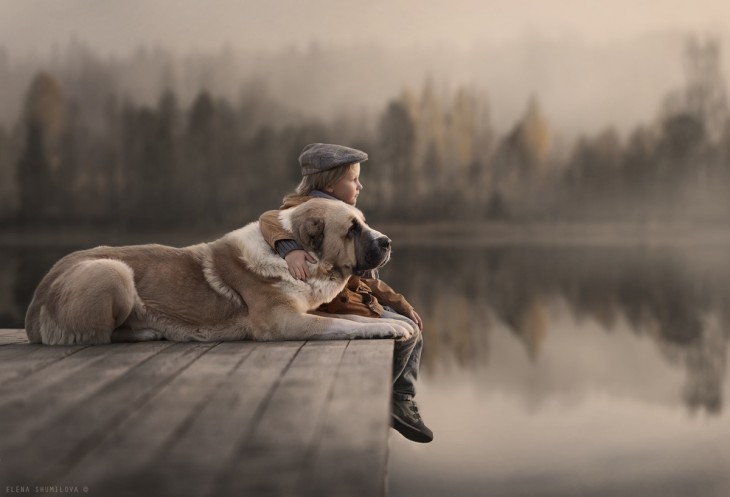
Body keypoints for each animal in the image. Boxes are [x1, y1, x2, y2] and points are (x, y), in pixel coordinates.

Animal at [25, 198, 412, 344]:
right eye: (351, 230)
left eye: (363, 222)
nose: (388, 241)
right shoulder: (283, 321)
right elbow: (344, 324)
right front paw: (388, 327)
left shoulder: (303, 311)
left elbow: (352, 318)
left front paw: (395, 322)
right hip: (113, 271)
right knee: (97, 336)